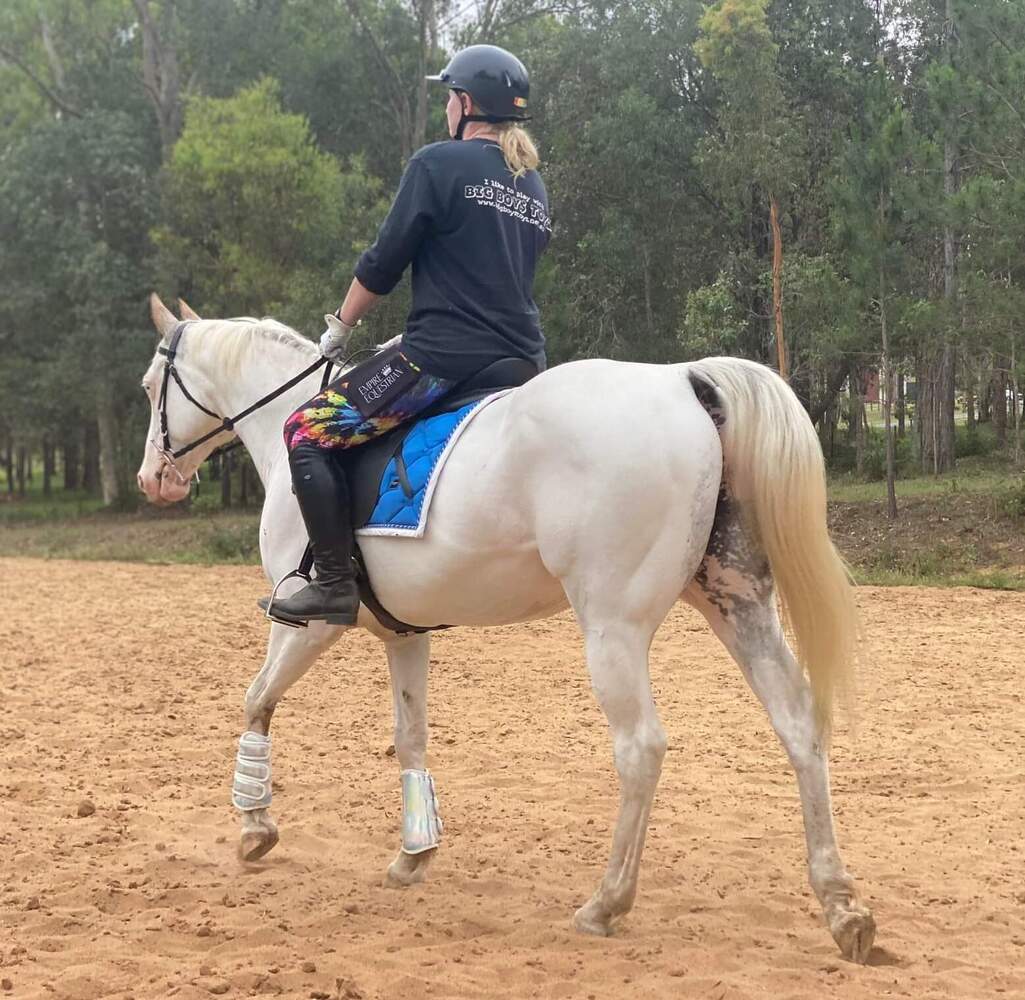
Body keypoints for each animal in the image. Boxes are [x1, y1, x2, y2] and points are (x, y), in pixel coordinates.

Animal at [136, 293, 875, 962]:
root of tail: (681, 381)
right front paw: (414, 853)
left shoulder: (307, 624)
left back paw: (606, 902)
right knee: (798, 725)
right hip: (735, 602)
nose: (153, 480)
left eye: (149, 387)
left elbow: (256, 700)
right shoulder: (405, 634)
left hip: (613, 628)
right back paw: (841, 907)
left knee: (641, 748)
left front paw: (255, 825)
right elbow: (409, 736)